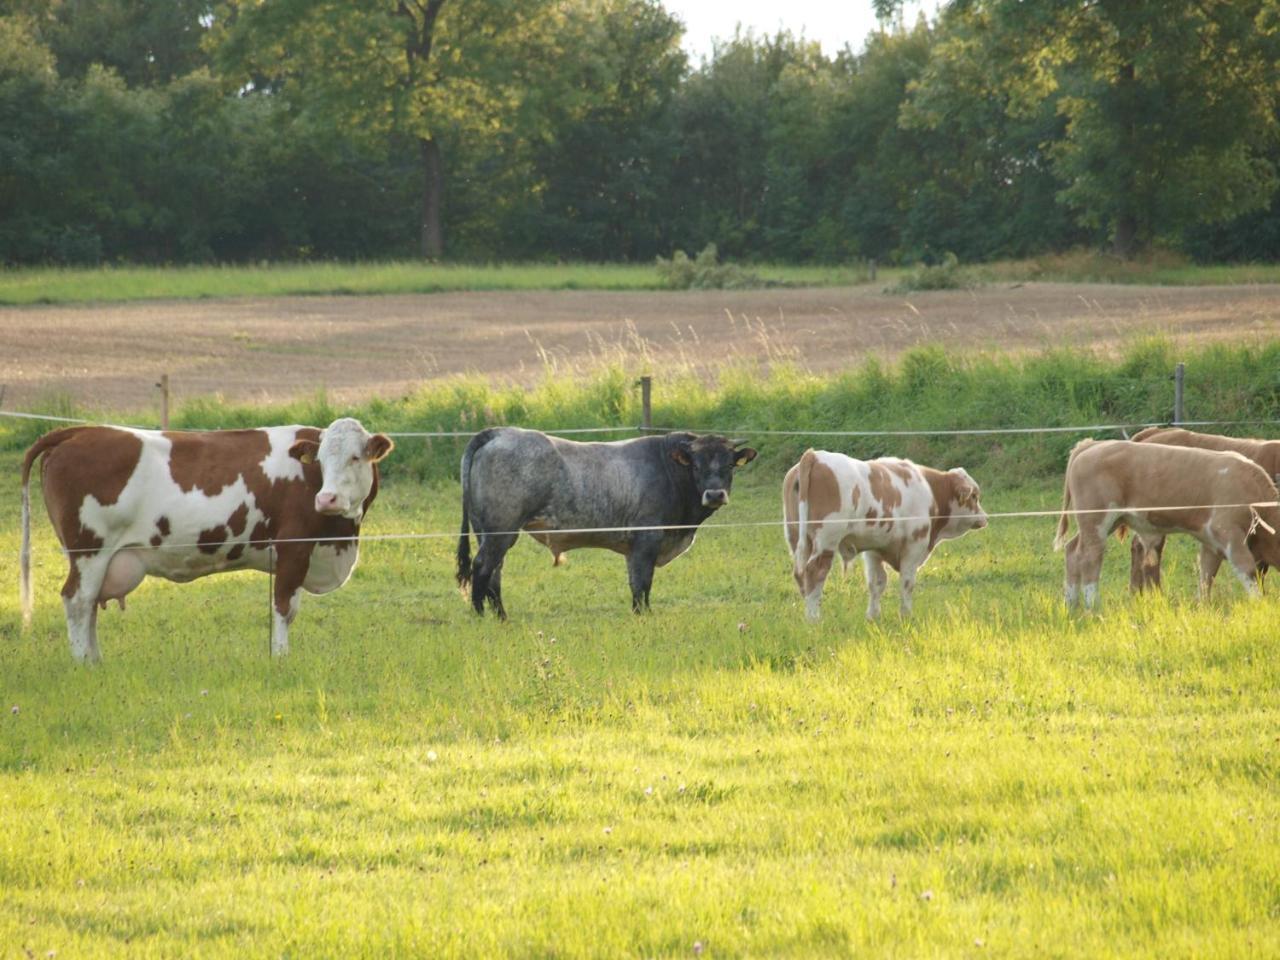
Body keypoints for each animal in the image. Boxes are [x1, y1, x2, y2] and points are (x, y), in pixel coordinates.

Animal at [17, 417, 389, 665]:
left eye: (355, 457)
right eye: (322, 461)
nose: (326, 499)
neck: (339, 539)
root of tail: (80, 431)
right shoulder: (294, 547)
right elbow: (284, 608)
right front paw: (280, 657)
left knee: (90, 604)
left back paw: (96, 661)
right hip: (89, 550)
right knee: (78, 600)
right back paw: (83, 663)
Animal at [458, 427, 757, 616]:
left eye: (729, 465)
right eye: (696, 465)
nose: (715, 494)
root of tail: (500, 432)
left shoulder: (634, 549)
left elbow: (636, 584)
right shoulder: (647, 540)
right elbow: (642, 584)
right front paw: (644, 615)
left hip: (488, 532)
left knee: (494, 573)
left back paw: (501, 617)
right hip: (501, 530)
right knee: (482, 567)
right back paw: (480, 616)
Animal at [778, 450, 988, 624]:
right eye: (974, 496)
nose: (985, 518)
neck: (930, 491)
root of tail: (815, 455)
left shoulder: (874, 549)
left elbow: (876, 583)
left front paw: (873, 616)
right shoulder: (914, 546)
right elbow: (907, 583)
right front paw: (906, 615)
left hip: (796, 537)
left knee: (800, 575)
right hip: (826, 540)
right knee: (815, 571)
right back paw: (814, 618)